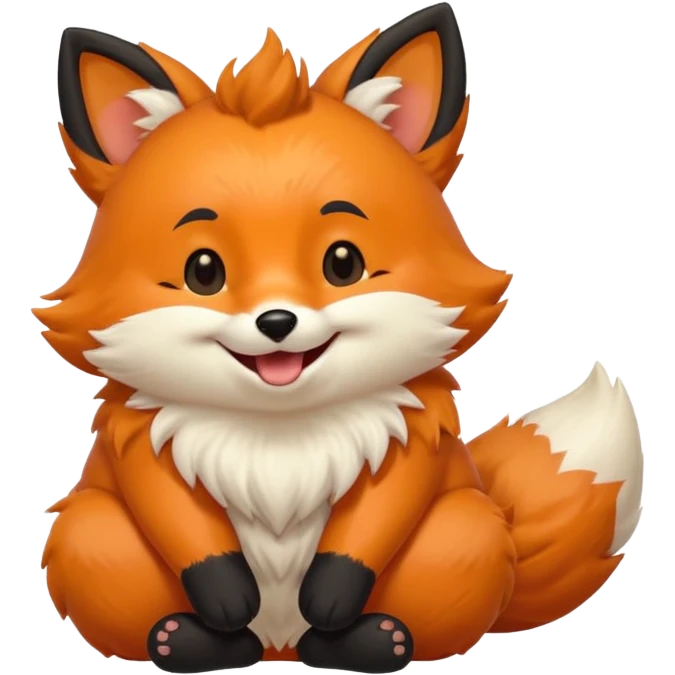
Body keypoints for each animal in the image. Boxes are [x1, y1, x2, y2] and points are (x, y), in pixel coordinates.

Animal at [36, 4, 645, 673]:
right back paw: (186, 640)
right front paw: (223, 598)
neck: (279, 434)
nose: (276, 323)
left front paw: (334, 598)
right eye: (204, 272)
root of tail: (279, 647)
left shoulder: (411, 437)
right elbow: (181, 523)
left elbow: (372, 525)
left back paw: (372, 640)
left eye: (343, 263)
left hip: (467, 530)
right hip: (91, 533)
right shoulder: (143, 442)